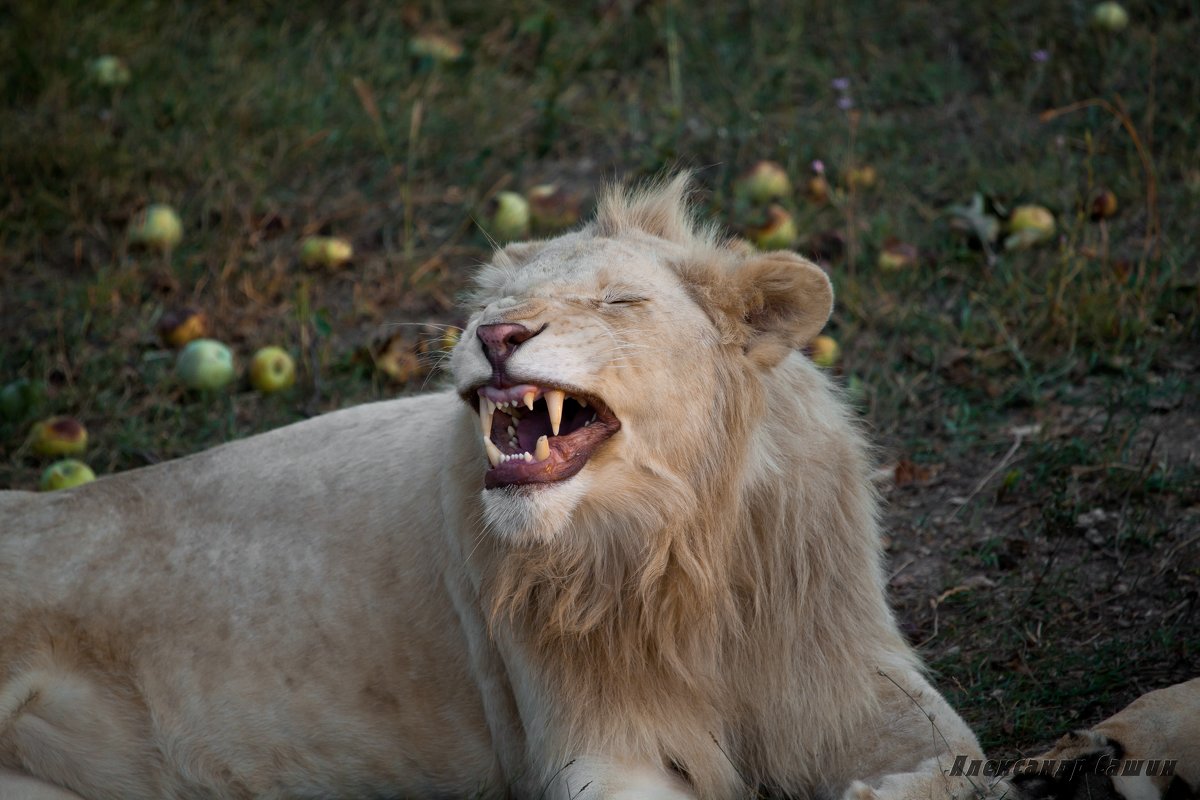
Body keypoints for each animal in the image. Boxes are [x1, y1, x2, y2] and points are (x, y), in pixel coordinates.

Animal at [2, 175, 993, 800]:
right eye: (490, 301)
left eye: (618, 302)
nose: (497, 334)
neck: (678, 551)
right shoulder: (596, 745)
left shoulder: (851, 679)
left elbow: (965, 763)